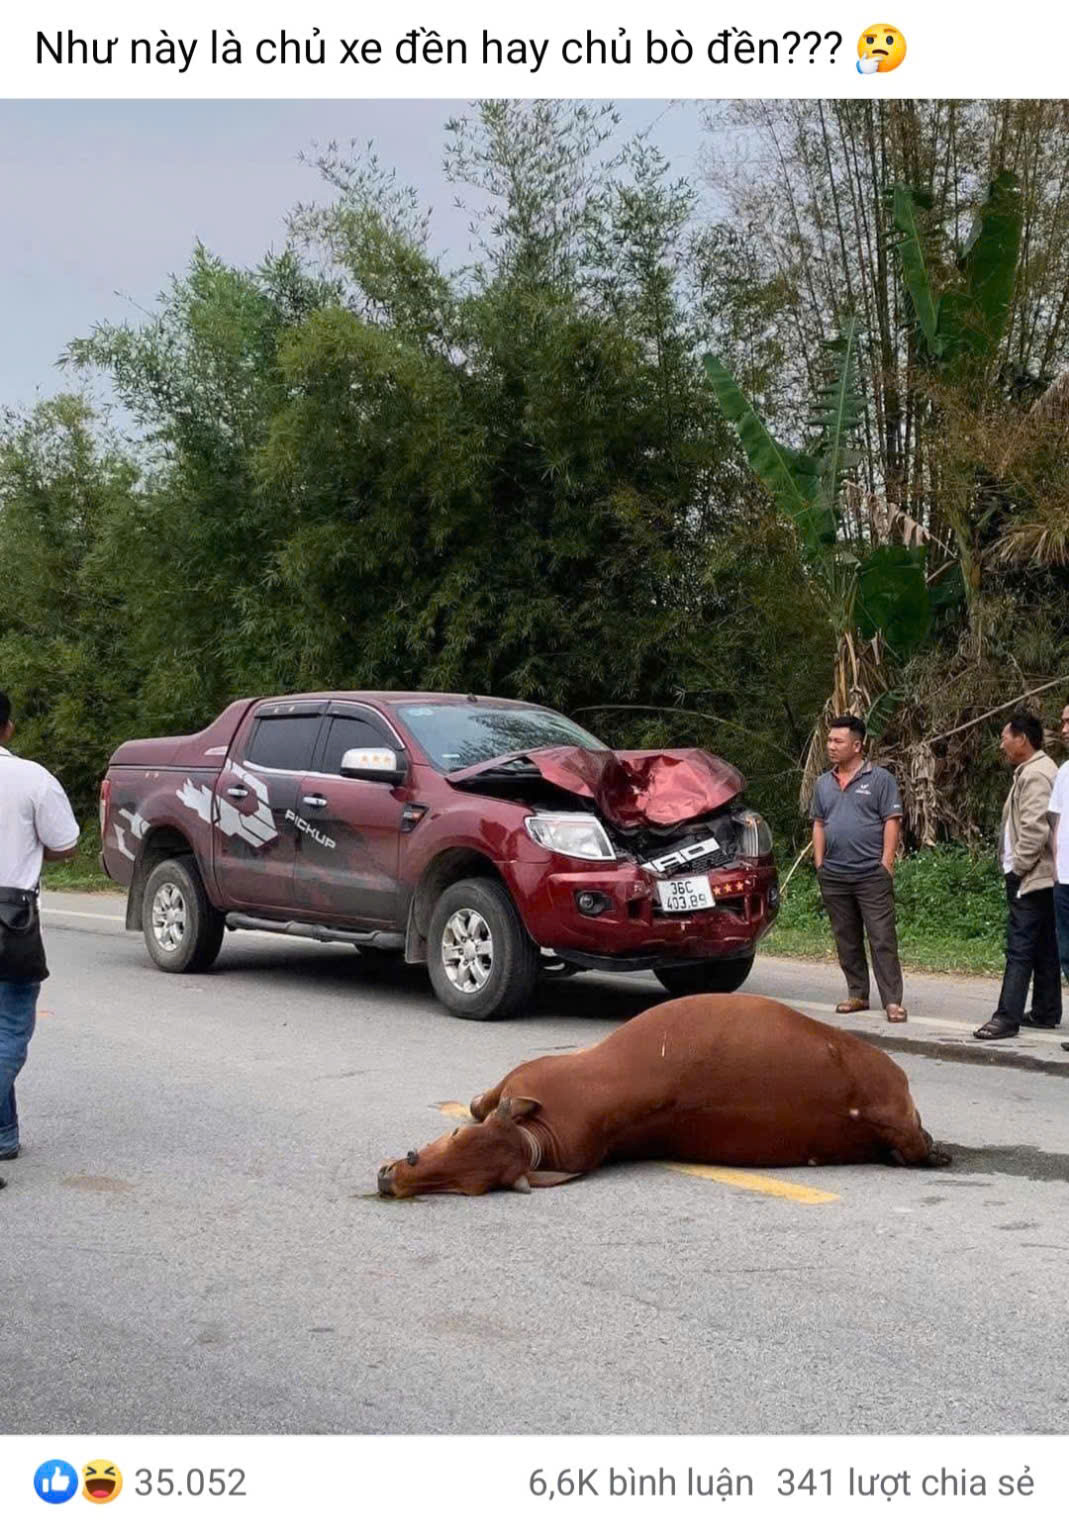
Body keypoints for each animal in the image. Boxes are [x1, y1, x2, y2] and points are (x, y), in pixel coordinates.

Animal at [372, 992, 943, 1194]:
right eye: (452, 1142)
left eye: (468, 1188)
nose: (392, 1177)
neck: (540, 1134)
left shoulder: (520, 1078)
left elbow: (481, 1101)